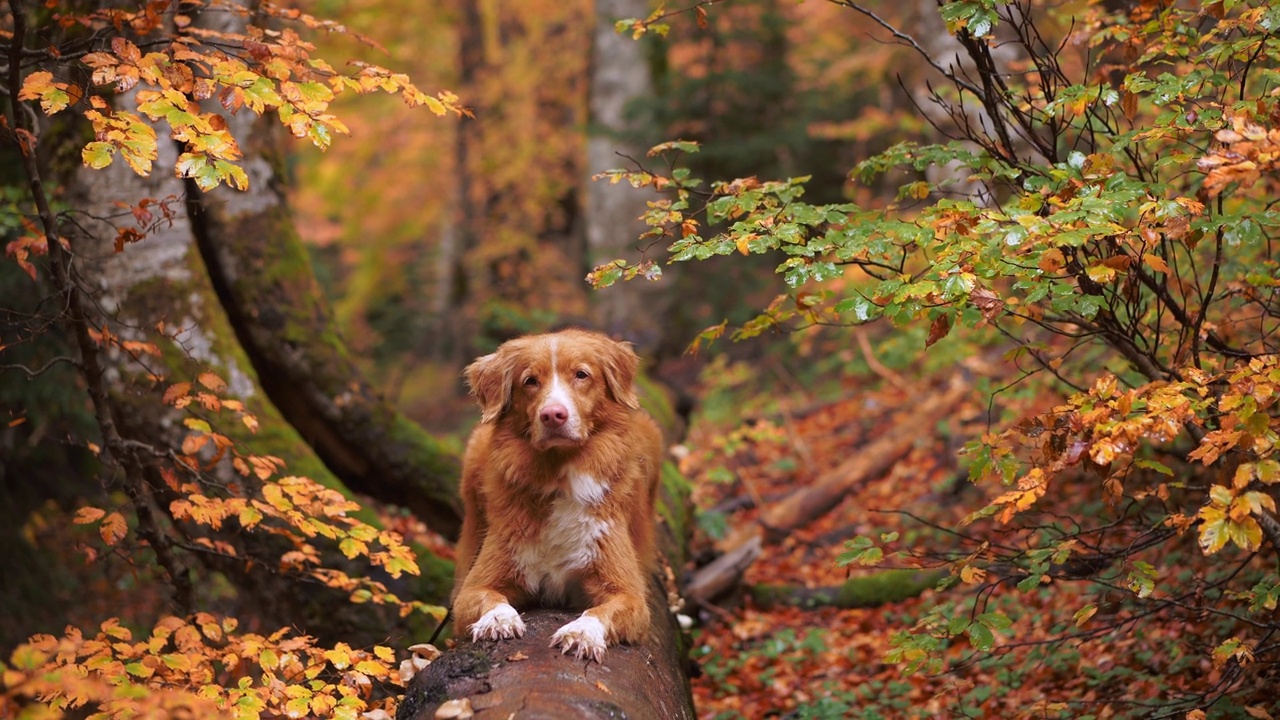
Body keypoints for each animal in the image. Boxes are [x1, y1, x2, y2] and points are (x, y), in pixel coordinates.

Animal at [453, 327, 660, 661]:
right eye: (530, 381)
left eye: (581, 375)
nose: (553, 415)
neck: (558, 476)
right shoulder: (474, 586)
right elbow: (485, 596)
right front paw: (498, 619)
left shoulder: (629, 594)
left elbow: (602, 610)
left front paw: (582, 633)